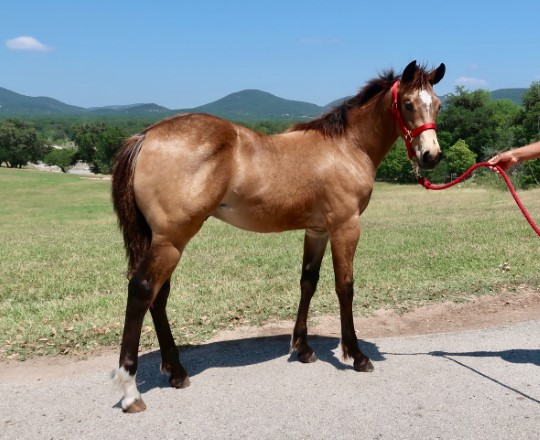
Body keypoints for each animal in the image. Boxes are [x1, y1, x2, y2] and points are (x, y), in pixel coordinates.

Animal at [112, 60, 446, 410]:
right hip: (172, 240)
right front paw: (356, 355)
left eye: (437, 104)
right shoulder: (345, 227)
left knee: (158, 296)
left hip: (162, 241)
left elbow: (308, 282)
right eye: (407, 104)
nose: (431, 155)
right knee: (142, 290)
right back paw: (130, 390)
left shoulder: (317, 231)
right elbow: (345, 287)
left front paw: (303, 348)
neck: (346, 146)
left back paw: (176, 371)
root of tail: (146, 136)